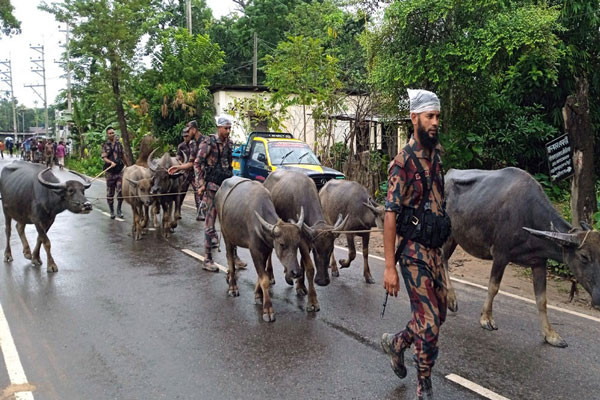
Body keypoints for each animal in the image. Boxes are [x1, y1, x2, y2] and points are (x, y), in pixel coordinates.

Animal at [216, 176, 308, 322]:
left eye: (297, 244)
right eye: (282, 244)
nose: (296, 272)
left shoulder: (266, 250)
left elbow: (262, 274)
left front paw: (258, 295)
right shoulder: (254, 250)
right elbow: (264, 279)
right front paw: (268, 310)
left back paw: (229, 277)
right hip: (226, 234)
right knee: (229, 257)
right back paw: (232, 287)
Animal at [264, 170, 346, 310]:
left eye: (331, 249)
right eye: (316, 250)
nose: (323, 281)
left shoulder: (306, 242)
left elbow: (302, 263)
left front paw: (301, 286)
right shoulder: (302, 241)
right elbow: (309, 268)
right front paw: (312, 301)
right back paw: (271, 276)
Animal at [442, 166, 600, 346]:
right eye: (584, 256)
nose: (598, 297)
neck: (529, 215)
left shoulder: (539, 263)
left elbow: (542, 300)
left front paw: (550, 335)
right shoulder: (501, 255)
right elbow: (493, 287)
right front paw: (486, 318)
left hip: (455, 237)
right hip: (447, 234)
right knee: (442, 259)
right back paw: (451, 299)